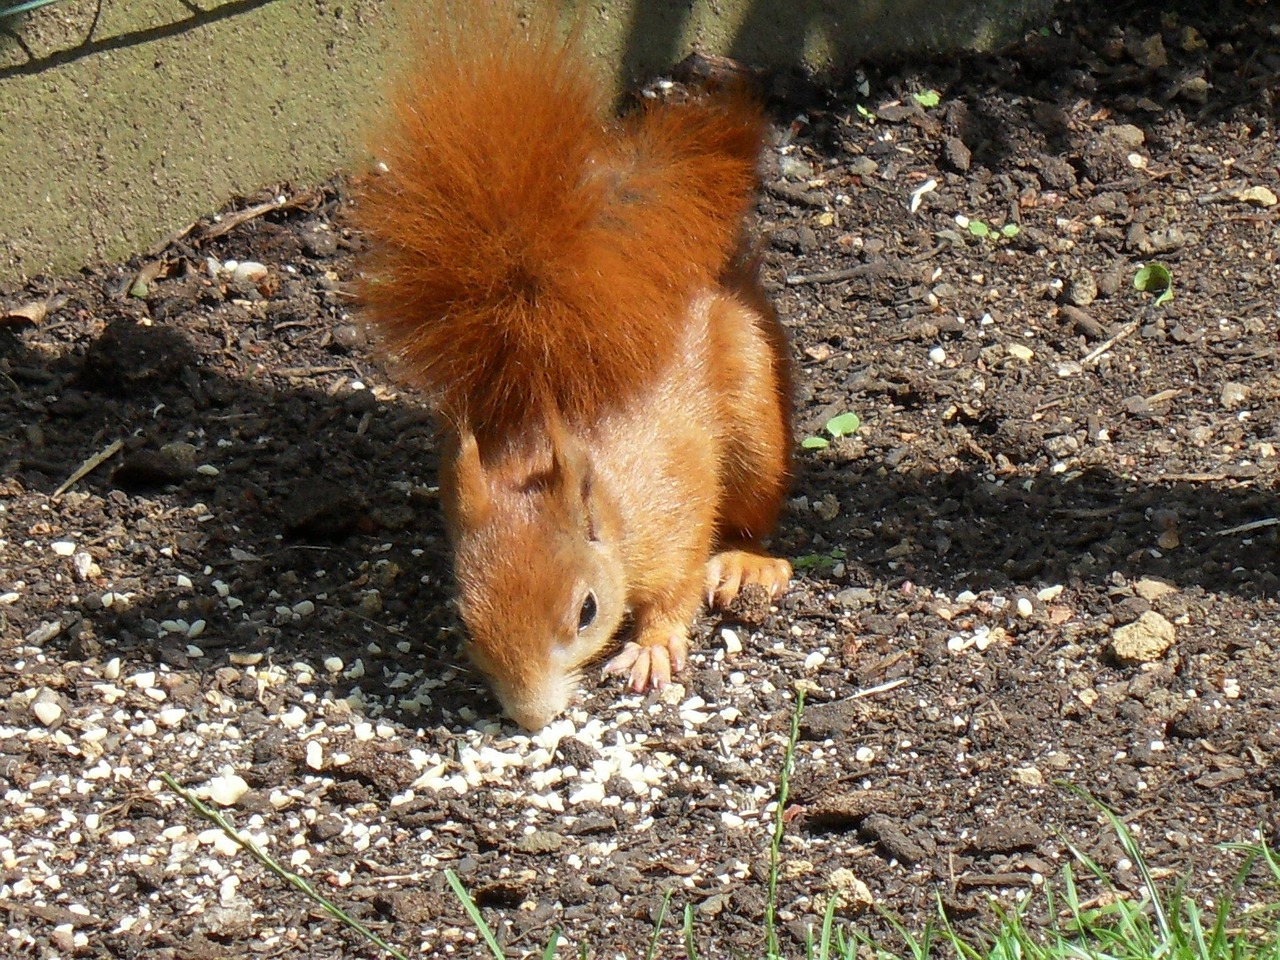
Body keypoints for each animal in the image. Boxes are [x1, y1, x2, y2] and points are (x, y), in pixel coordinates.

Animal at [353, 7, 788, 732]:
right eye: (464, 622)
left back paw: (748, 565)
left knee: (756, 509)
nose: (532, 719)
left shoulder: (675, 511)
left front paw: (653, 646)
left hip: (756, 413)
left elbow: (676, 587)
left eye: (587, 612)